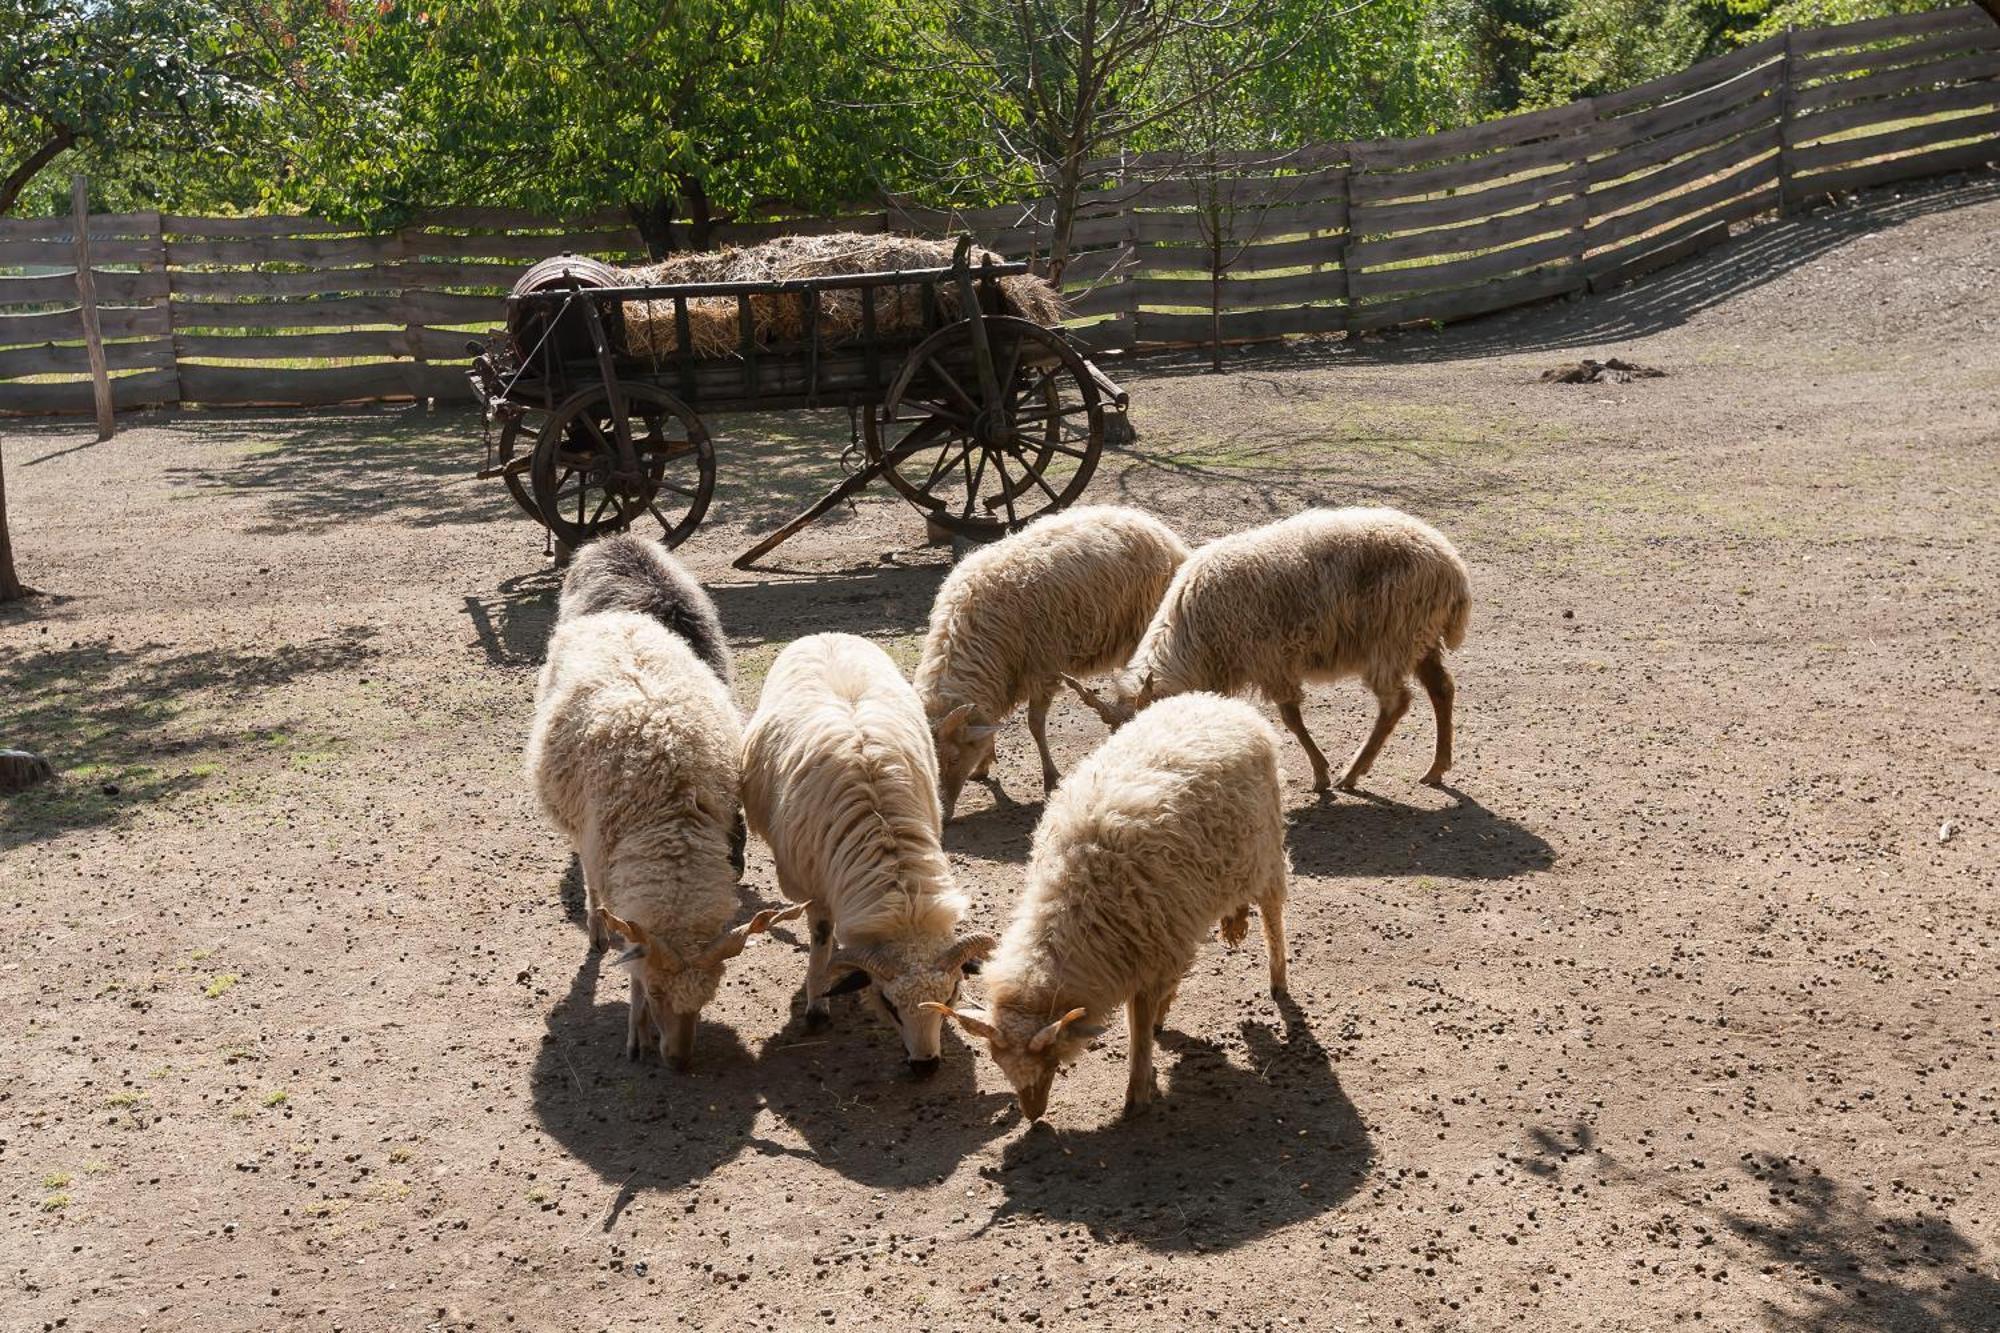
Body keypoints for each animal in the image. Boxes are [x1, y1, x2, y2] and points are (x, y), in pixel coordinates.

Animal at [528, 608, 800, 1064]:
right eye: (656, 991)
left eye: (708, 998)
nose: (679, 1061)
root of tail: (615, 615)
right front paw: (636, 1031)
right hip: (583, 833)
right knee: (589, 879)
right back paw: (596, 926)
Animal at [740, 628, 996, 1072]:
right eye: (889, 1005)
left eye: (950, 995)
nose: (926, 1066)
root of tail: (825, 633)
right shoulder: (813, 890)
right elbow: (821, 940)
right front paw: (816, 1004)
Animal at [916, 500, 1184, 816]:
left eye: (954, 759)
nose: (942, 814)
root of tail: (1151, 524)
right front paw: (984, 763)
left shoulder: (1043, 668)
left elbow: (1035, 724)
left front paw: (1050, 777)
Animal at [928, 688, 1288, 1112]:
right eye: (999, 1063)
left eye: (1051, 1059)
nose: (1034, 1115)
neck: (1074, 903)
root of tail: (1218, 701)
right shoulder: (1159, 939)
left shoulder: (1152, 950)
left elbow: (1140, 1024)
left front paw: (1137, 1091)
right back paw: (1234, 920)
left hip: (1267, 848)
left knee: (1273, 912)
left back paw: (1277, 978)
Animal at [1072, 500, 1480, 788]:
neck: (1195, 638)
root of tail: (1453, 567)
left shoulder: (1270, 658)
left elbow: (1291, 719)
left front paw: (1321, 774)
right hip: (1420, 637)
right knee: (1442, 689)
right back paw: (1436, 768)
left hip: (1393, 639)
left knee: (1396, 703)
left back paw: (1352, 773)